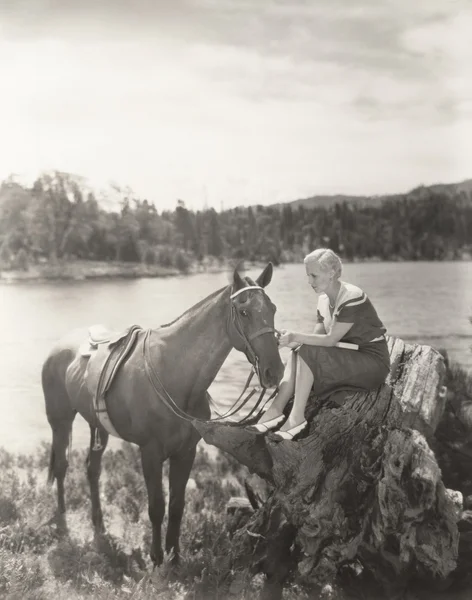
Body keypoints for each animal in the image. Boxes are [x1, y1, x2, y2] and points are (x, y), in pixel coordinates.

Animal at [42, 262, 284, 564]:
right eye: (244, 311)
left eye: (272, 308)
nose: (274, 371)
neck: (173, 374)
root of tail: (59, 347)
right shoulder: (151, 453)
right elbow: (156, 506)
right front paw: (157, 557)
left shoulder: (186, 452)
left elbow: (177, 505)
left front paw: (174, 555)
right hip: (60, 420)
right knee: (61, 467)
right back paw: (62, 519)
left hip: (97, 427)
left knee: (92, 470)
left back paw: (99, 525)